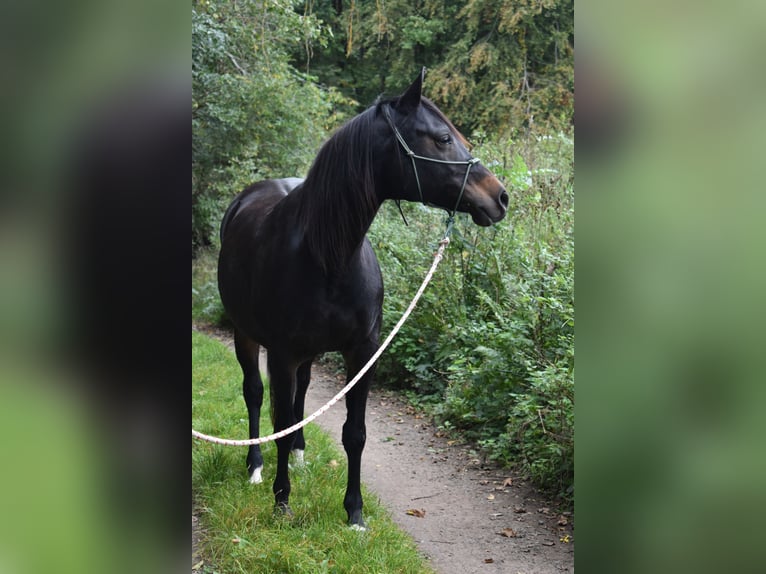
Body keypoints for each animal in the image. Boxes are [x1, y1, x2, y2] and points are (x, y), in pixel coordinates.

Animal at [216, 70, 510, 532]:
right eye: (443, 138)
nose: (499, 197)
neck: (328, 256)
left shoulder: (362, 351)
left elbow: (354, 432)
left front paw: (354, 513)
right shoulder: (281, 354)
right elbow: (279, 418)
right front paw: (282, 503)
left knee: (301, 395)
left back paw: (299, 456)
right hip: (244, 336)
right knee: (255, 395)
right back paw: (256, 465)